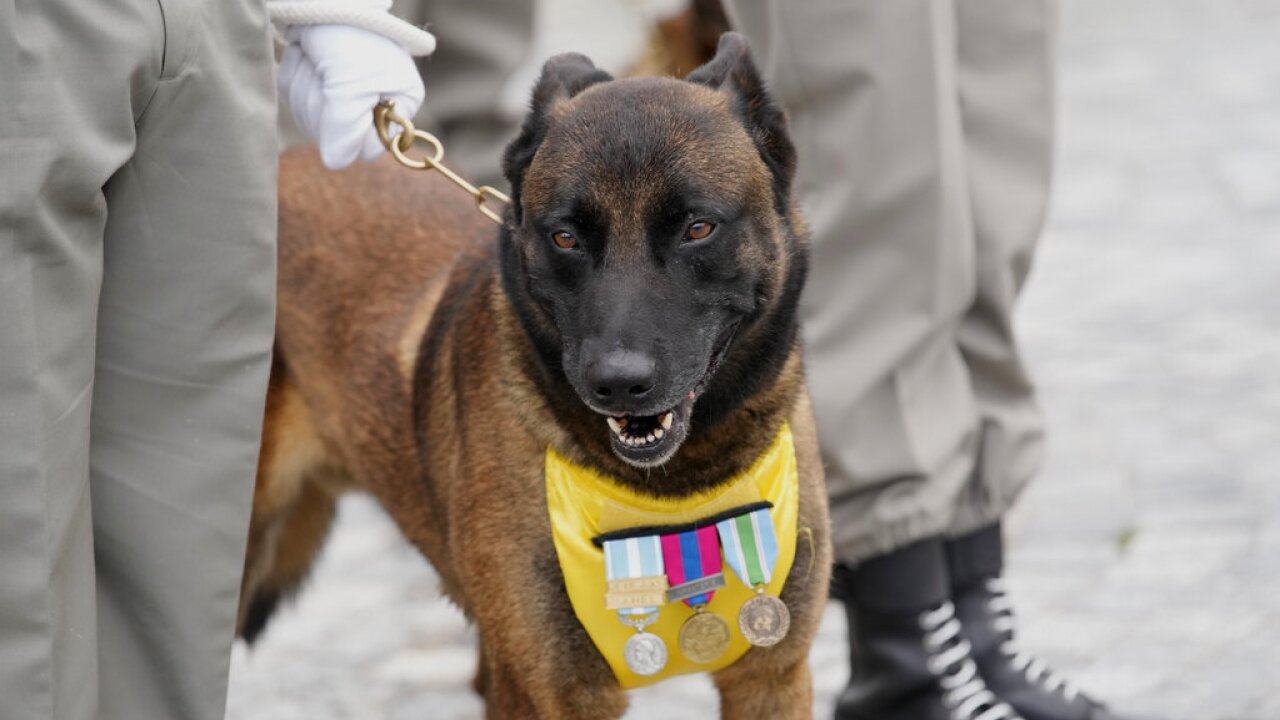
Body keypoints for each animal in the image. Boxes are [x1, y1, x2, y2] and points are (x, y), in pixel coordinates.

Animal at [240, 32, 834, 712]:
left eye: (698, 228)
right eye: (566, 237)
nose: (618, 383)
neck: (672, 499)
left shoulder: (771, 679)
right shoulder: (546, 692)